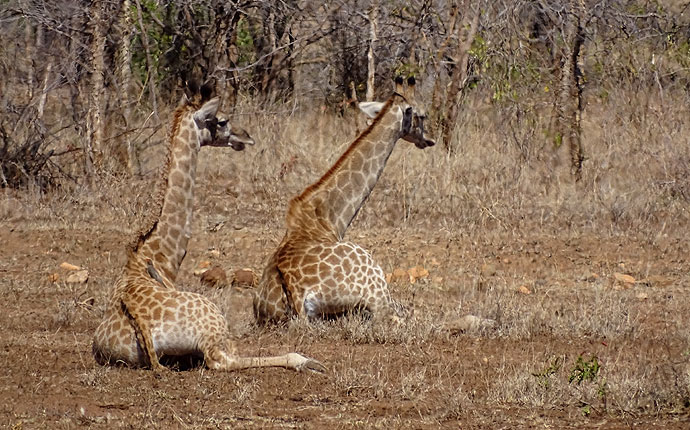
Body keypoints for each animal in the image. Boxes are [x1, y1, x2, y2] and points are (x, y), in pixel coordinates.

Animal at [92, 85, 326, 372]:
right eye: (222, 120)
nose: (246, 137)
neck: (156, 256)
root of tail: (142, 324)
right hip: (214, 322)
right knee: (223, 360)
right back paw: (305, 360)